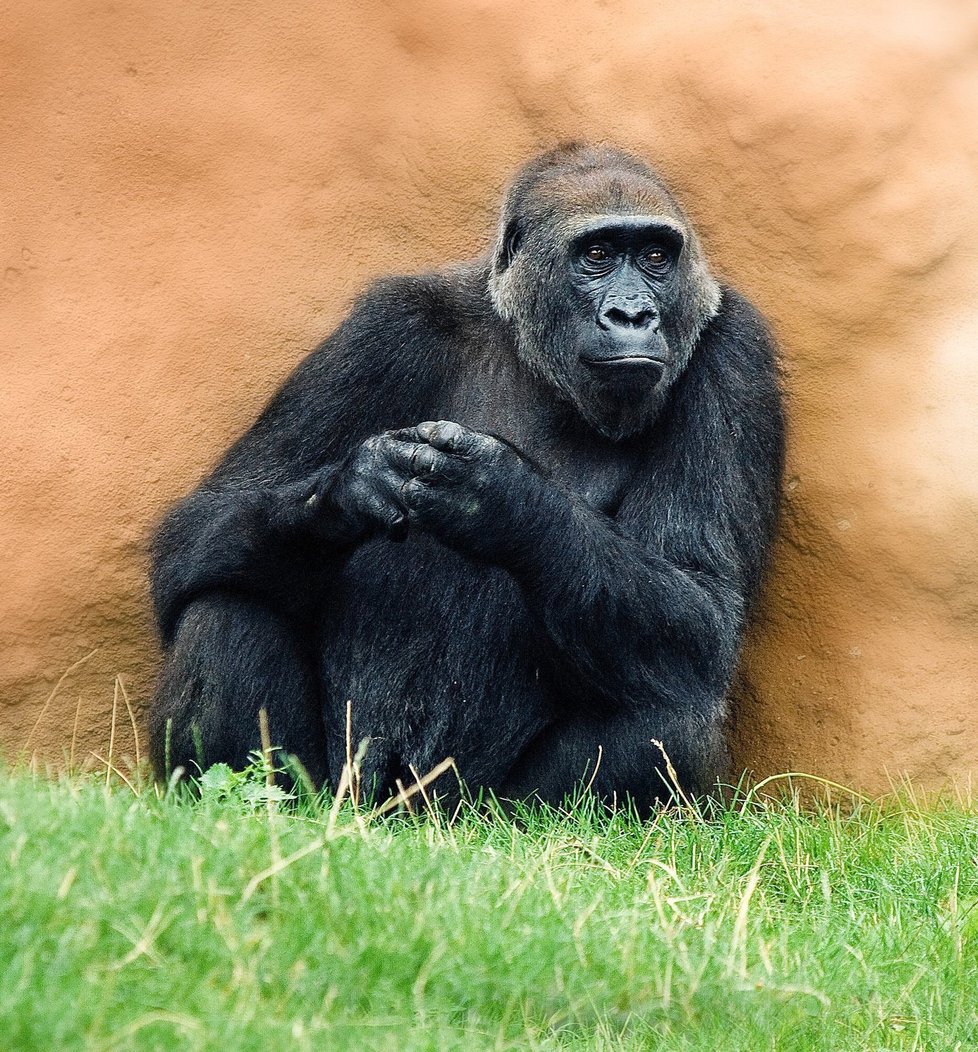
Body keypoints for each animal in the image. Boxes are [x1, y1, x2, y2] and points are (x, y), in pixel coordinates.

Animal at [147, 142, 786, 812]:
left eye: (657, 257)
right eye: (598, 255)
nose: (633, 314)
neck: (530, 349)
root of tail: (411, 815)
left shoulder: (736, 353)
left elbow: (703, 609)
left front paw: (504, 498)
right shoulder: (387, 326)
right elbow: (202, 523)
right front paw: (349, 491)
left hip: (482, 810)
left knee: (676, 712)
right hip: (345, 791)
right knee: (225, 605)